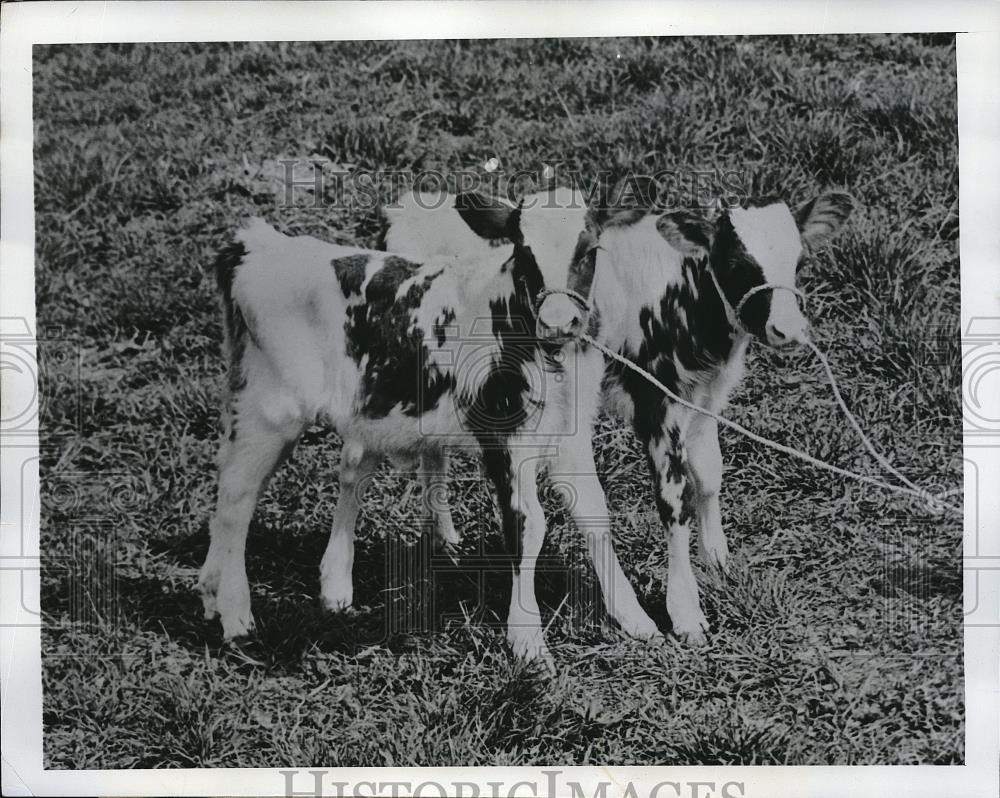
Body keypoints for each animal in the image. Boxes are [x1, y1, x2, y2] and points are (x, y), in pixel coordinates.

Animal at [202, 189, 656, 668]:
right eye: (523, 252)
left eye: (589, 250)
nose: (557, 322)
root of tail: (257, 246)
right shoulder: (504, 436)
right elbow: (526, 526)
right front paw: (527, 640)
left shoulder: (570, 434)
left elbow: (595, 513)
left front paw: (633, 617)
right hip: (272, 411)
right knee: (236, 499)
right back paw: (236, 616)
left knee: (241, 480)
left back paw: (216, 592)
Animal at [382, 186, 852, 644]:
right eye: (737, 264)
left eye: (798, 262)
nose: (788, 331)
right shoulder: (657, 403)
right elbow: (673, 497)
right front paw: (685, 611)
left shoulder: (703, 398)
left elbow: (709, 474)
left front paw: (717, 559)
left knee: (433, 452)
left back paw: (445, 538)